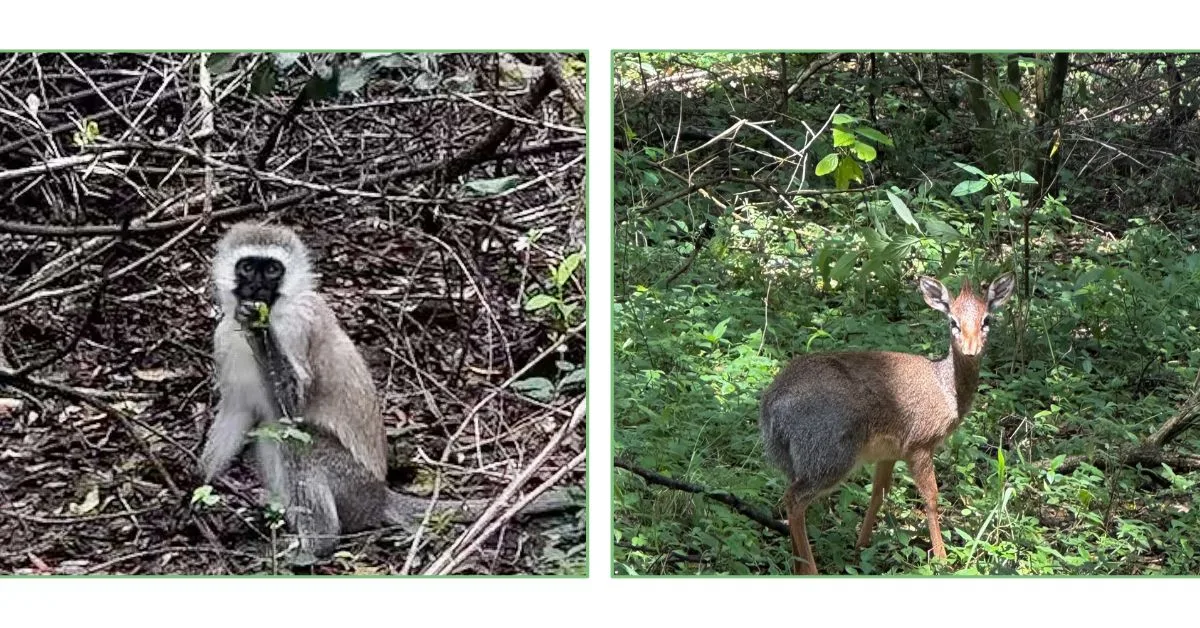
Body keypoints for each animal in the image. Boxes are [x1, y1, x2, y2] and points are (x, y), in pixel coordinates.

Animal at [200, 222, 573, 565]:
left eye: (273, 269)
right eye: (248, 267)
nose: (258, 287)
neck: (278, 309)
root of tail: (380, 495)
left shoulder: (298, 326)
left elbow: (293, 405)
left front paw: (259, 328)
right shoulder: (222, 336)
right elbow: (237, 412)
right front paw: (195, 484)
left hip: (353, 486)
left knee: (296, 437)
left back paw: (314, 547)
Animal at [759, 272, 1015, 575]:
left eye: (986, 320)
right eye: (953, 321)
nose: (971, 349)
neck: (946, 389)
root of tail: (772, 406)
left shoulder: (889, 453)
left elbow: (878, 494)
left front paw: (860, 548)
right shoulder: (920, 445)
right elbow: (931, 498)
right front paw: (942, 559)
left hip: (795, 462)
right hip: (830, 457)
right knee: (794, 500)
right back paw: (810, 568)